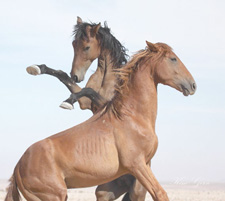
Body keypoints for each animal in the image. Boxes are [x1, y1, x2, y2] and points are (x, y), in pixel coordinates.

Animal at [4, 41, 195, 201]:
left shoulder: (144, 165)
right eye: (173, 59)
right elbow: (160, 194)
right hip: (54, 195)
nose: (193, 85)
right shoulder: (137, 165)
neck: (132, 117)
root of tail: (18, 167)